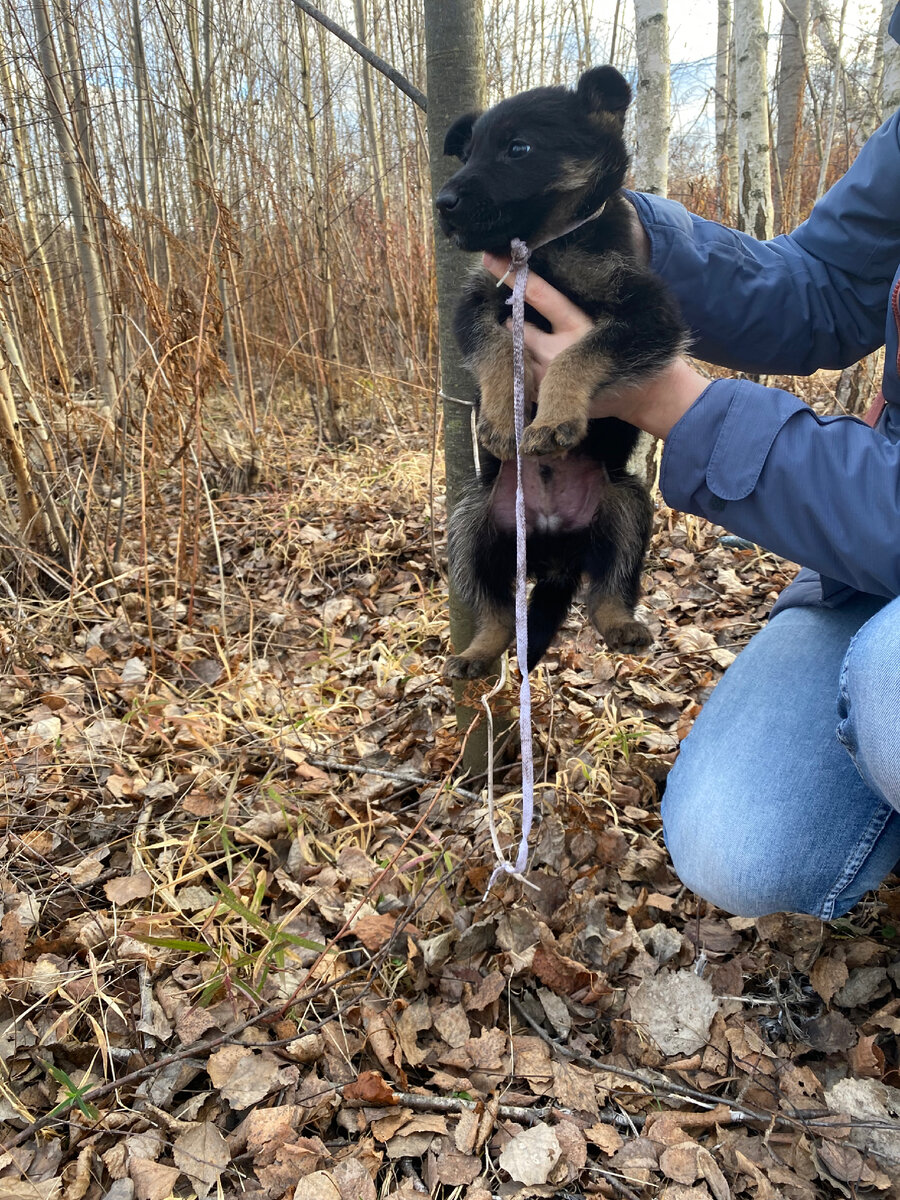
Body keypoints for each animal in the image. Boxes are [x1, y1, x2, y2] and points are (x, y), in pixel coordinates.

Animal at [436, 65, 681, 681]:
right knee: (498, 611)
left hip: (627, 504)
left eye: (518, 149)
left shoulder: (649, 315)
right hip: (471, 522)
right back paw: (475, 653)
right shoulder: (476, 303)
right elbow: (499, 346)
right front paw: (504, 419)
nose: (442, 203)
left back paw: (622, 625)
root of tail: (552, 554)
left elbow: (580, 351)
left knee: (607, 591)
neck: (547, 248)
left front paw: (553, 421)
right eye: (467, 153)